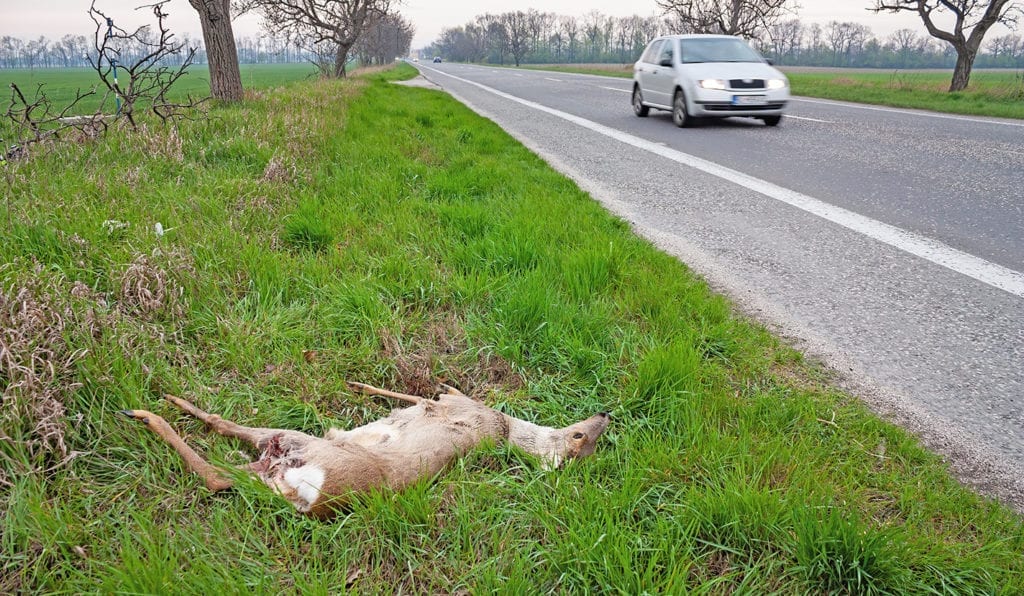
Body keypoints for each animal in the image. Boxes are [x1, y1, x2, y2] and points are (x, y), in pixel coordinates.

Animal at [123, 382, 610, 518]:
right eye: (582, 438)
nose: (606, 414)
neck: (504, 427)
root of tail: (308, 496)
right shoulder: (455, 403)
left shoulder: (447, 404)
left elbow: (416, 396)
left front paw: (358, 385)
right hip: (274, 454)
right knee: (224, 457)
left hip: (292, 444)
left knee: (217, 469)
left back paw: (145, 410)